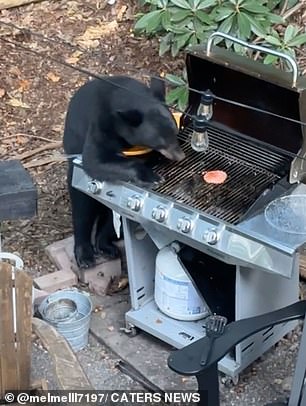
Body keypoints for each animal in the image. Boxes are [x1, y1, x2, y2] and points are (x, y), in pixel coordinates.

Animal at [62, 76, 184, 270]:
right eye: (161, 141)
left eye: (175, 132)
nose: (180, 156)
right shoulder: (100, 123)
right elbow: (95, 159)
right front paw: (152, 176)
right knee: (82, 207)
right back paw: (85, 255)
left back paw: (105, 245)